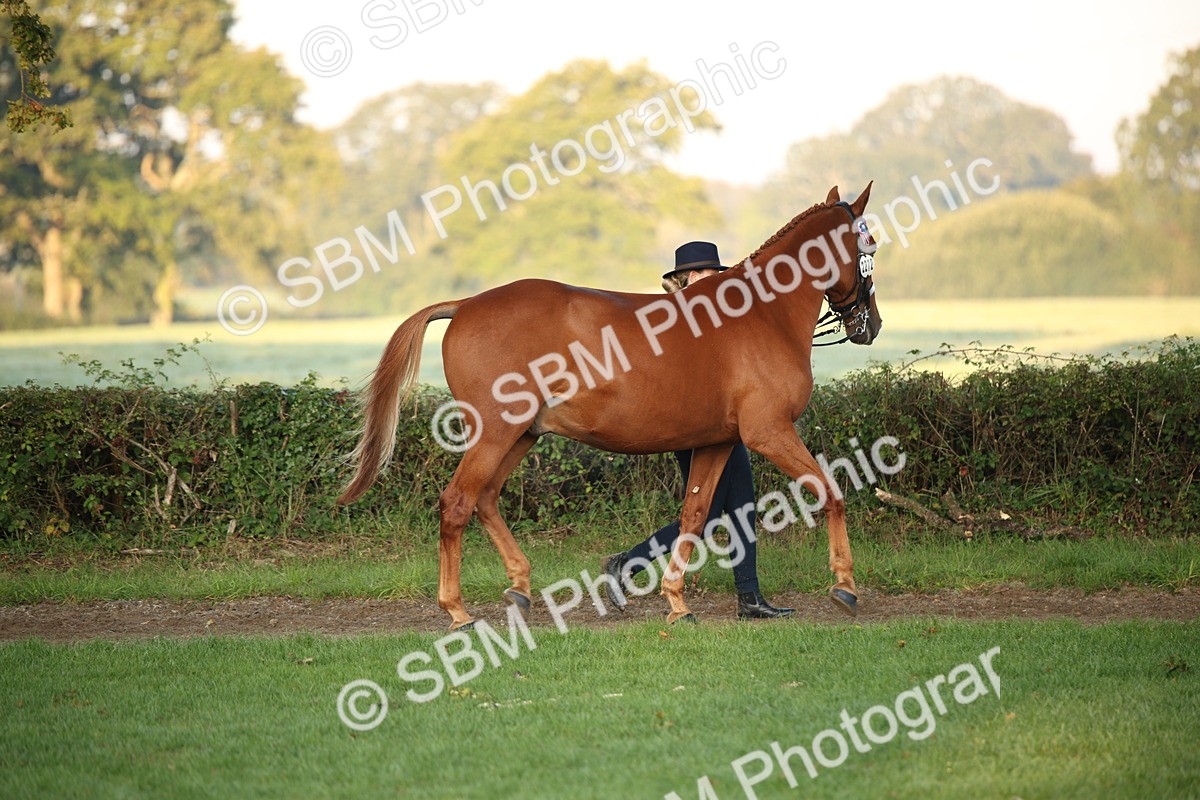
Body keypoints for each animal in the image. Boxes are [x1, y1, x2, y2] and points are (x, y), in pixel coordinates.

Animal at [338, 183, 882, 630]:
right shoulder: (768, 432)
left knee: (486, 498)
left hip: (522, 434)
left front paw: (676, 601)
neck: (760, 314)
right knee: (456, 504)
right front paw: (845, 587)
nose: (870, 324)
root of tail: (467, 305)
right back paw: (457, 612)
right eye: (868, 248)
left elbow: (694, 515)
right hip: (496, 432)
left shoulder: (718, 442)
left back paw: (520, 587)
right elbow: (831, 491)